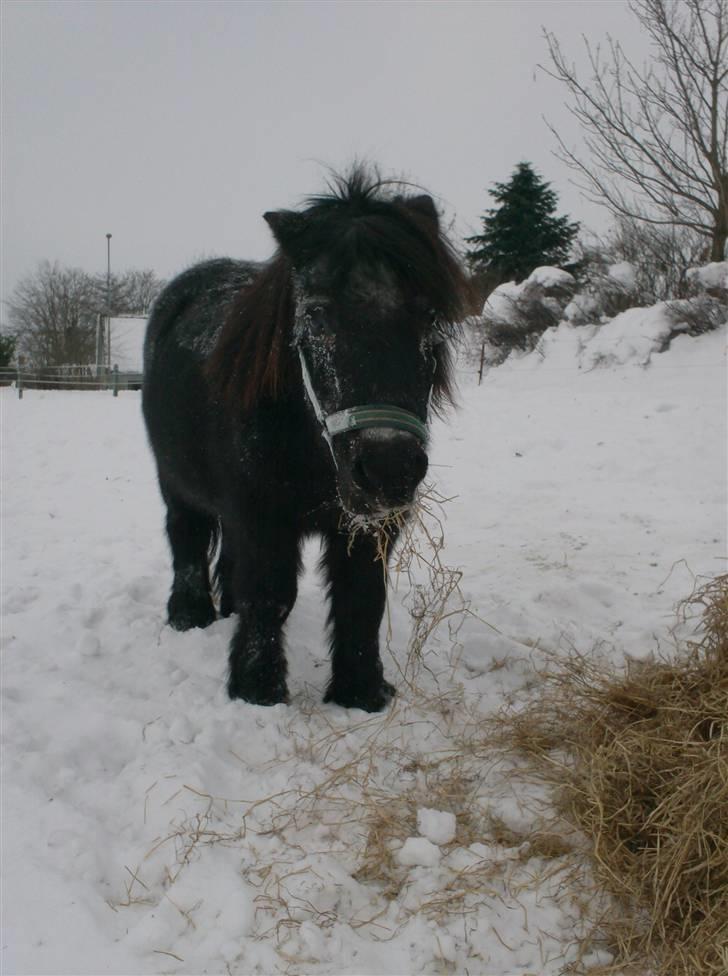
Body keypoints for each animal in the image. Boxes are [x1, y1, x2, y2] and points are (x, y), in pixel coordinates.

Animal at [144, 168, 466, 712]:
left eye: (428, 315)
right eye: (315, 315)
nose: (389, 469)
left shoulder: (367, 527)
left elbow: (362, 599)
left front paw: (361, 692)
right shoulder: (262, 517)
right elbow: (270, 593)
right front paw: (257, 690)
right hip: (176, 482)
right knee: (186, 536)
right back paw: (190, 614)